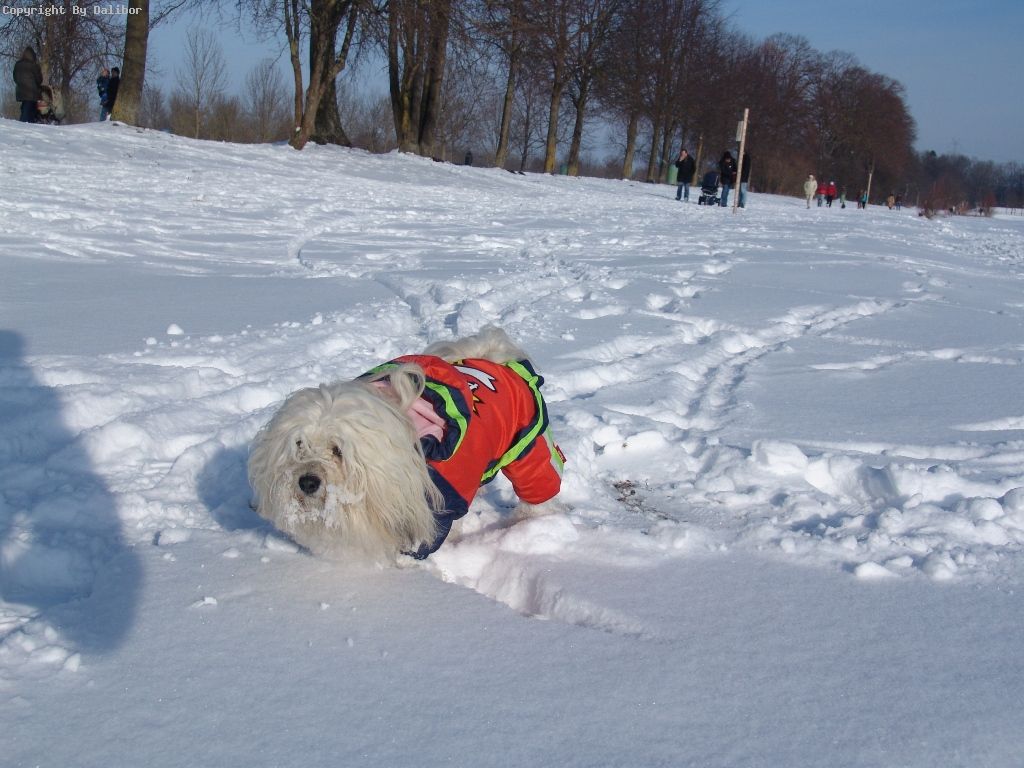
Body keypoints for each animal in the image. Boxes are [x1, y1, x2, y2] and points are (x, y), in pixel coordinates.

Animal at [247, 326, 565, 560]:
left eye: (337, 450)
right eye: (299, 445)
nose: (307, 481)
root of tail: (493, 358)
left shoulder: (438, 507)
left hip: (529, 447)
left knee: (538, 490)